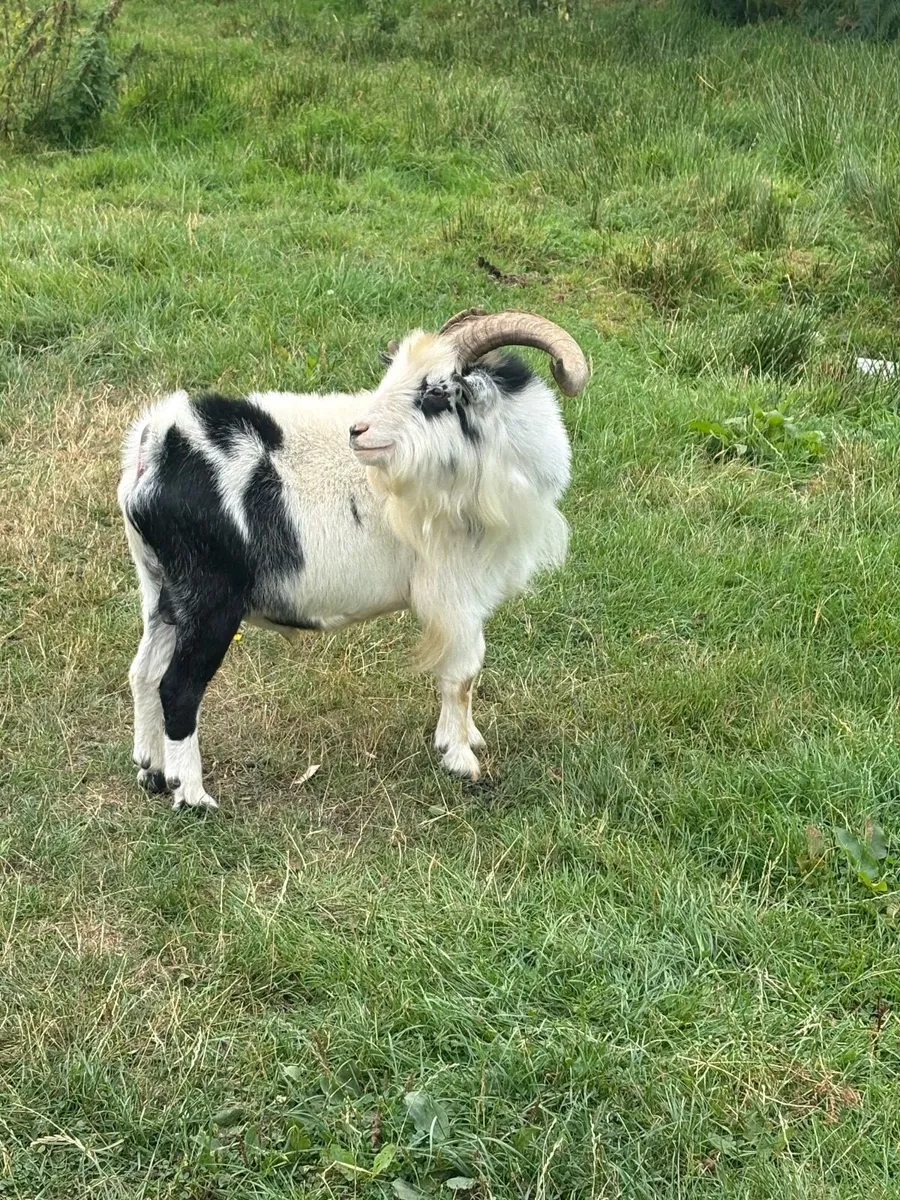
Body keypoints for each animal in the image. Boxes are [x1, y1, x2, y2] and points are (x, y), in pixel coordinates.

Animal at [118, 308, 589, 810]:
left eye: (435, 392)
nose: (357, 432)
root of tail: (155, 447)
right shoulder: (455, 593)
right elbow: (461, 673)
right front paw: (461, 758)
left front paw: (464, 738)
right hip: (209, 599)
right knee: (177, 687)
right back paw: (192, 795)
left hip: (163, 591)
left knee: (143, 673)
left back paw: (151, 770)